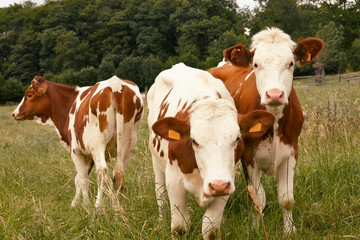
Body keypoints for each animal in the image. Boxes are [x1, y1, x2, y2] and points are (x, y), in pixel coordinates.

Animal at [13, 76, 144, 207]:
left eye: (29, 95)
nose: (14, 113)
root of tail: (116, 83)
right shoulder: (88, 155)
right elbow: (80, 178)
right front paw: (75, 203)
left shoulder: (76, 151)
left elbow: (82, 180)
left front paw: (85, 205)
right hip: (126, 147)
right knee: (119, 174)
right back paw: (117, 206)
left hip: (98, 146)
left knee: (102, 172)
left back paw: (98, 205)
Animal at [148, 62, 274, 239]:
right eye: (194, 140)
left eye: (237, 138)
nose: (218, 185)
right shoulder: (174, 181)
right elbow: (179, 228)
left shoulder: (226, 182)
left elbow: (210, 230)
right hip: (156, 162)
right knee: (160, 195)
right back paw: (160, 222)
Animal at [208, 27, 324, 233]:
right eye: (256, 64)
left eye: (291, 63)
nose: (275, 94)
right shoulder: (248, 157)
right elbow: (257, 199)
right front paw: (255, 227)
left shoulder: (291, 153)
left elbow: (286, 199)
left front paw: (289, 230)